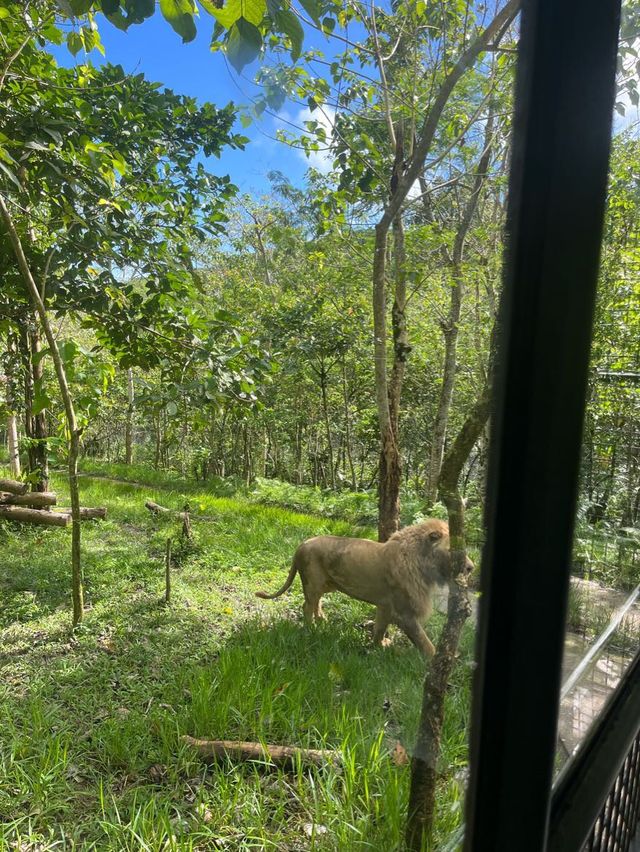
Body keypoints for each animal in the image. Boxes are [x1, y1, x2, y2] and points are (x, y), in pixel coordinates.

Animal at [256, 512, 476, 660]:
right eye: (455, 551)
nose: (471, 568)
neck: (425, 564)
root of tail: (301, 545)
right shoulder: (404, 613)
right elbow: (424, 641)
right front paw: (438, 662)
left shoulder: (385, 606)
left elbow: (380, 628)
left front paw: (379, 645)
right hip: (312, 583)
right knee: (307, 606)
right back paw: (310, 629)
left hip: (327, 584)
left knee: (317, 603)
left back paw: (323, 621)